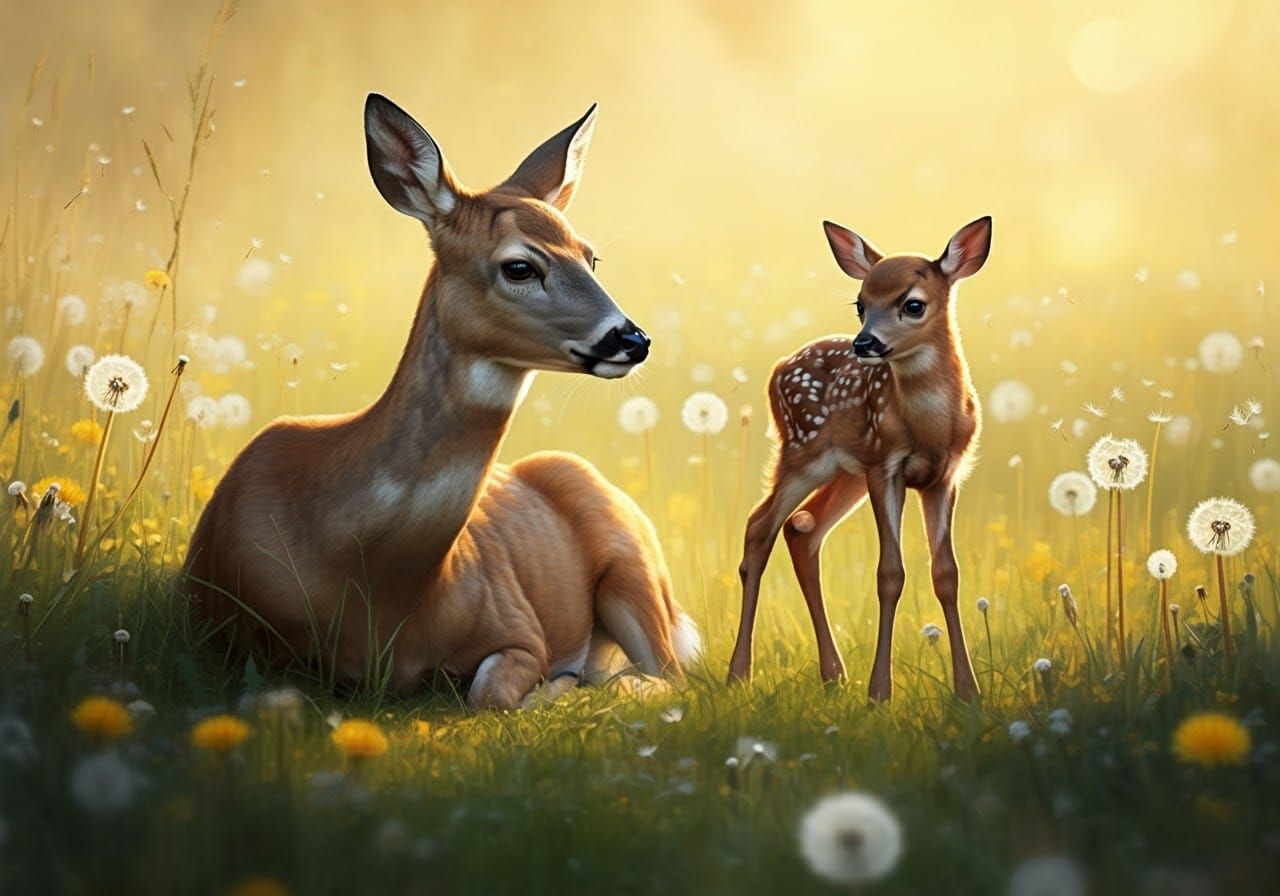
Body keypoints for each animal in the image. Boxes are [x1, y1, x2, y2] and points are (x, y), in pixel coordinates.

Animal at [186, 94, 701, 710]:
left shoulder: (520, 627)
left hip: (636, 570)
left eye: (590, 257)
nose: (632, 339)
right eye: (520, 266)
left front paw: (554, 685)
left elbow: (490, 690)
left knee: (670, 677)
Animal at [727, 217, 993, 703]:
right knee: (760, 526)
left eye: (912, 304)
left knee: (802, 529)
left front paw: (968, 692)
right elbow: (890, 573)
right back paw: (738, 674)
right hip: (802, 451)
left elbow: (946, 574)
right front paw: (879, 694)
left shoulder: (944, 477)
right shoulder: (885, 467)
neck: (929, 427)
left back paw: (834, 674)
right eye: (861, 303)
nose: (865, 342)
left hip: (845, 473)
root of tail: (776, 368)